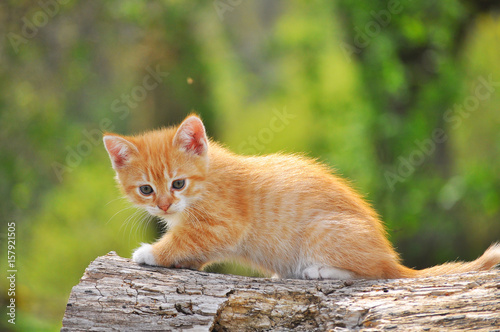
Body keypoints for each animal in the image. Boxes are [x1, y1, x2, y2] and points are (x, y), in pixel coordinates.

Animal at [103, 115, 498, 278]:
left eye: (178, 184)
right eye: (146, 190)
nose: (164, 205)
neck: (209, 178)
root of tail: (390, 255)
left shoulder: (224, 223)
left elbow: (186, 238)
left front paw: (151, 252)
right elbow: (193, 246)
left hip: (323, 231)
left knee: (378, 273)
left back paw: (320, 271)